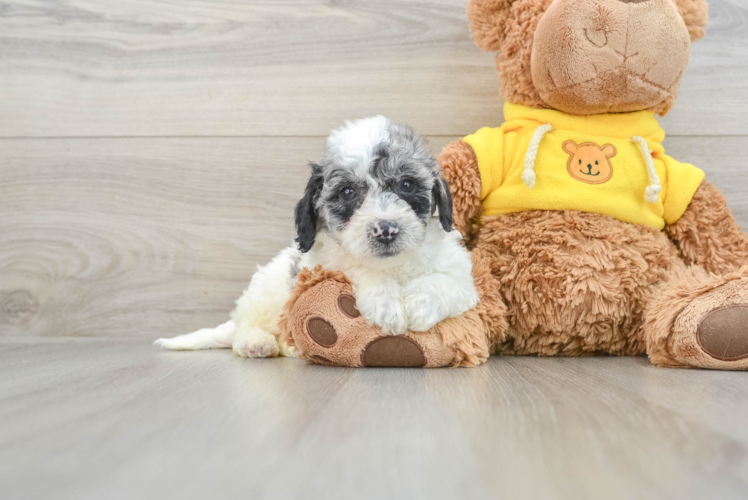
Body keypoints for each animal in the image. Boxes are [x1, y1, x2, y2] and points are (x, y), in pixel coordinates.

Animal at [156, 116, 480, 360]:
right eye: (347, 192)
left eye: (408, 184)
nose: (385, 229)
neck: (392, 266)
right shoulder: (323, 263)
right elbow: (356, 268)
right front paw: (385, 303)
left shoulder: (462, 278)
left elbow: (443, 282)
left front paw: (420, 306)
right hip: (267, 292)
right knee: (244, 328)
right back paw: (258, 343)